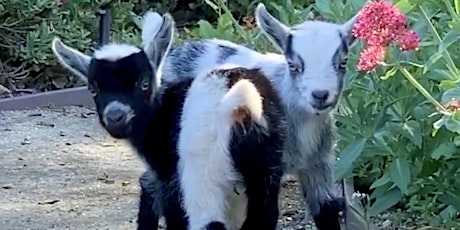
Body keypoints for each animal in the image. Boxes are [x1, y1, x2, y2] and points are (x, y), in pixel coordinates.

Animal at [52, 9, 286, 230]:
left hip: (202, 169)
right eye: (93, 89)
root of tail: (239, 102)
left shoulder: (169, 177)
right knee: (264, 215)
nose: (115, 117)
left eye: (144, 84)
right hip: (265, 163)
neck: (161, 111)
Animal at [149, 2, 362, 229]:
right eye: (293, 65)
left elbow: (326, 210)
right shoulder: (267, 167)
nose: (320, 95)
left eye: (343, 62)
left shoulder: (318, 164)